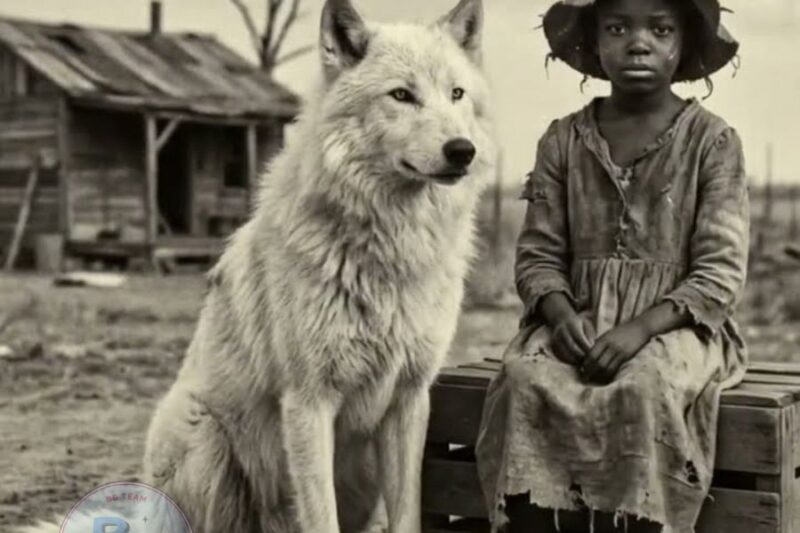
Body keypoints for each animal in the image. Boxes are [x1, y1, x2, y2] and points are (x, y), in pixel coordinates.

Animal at [19, 0, 495, 532]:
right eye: (402, 95)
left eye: (456, 94)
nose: (462, 150)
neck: (389, 246)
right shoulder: (308, 403)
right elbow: (321, 516)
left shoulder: (410, 401)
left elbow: (408, 513)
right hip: (208, 440)